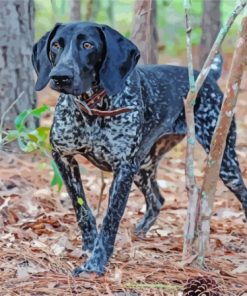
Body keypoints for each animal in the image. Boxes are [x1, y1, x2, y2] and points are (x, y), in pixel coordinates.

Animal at [31, 22, 247, 276]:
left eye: (88, 45)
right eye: (56, 45)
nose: (60, 76)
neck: (93, 108)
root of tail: (208, 77)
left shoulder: (123, 168)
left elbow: (111, 219)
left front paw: (96, 263)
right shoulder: (63, 157)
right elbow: (81, 208)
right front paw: (89, 246)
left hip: (224, 162)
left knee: (242, 194)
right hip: (143, 167)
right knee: (157, 200)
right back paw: (140, 231)